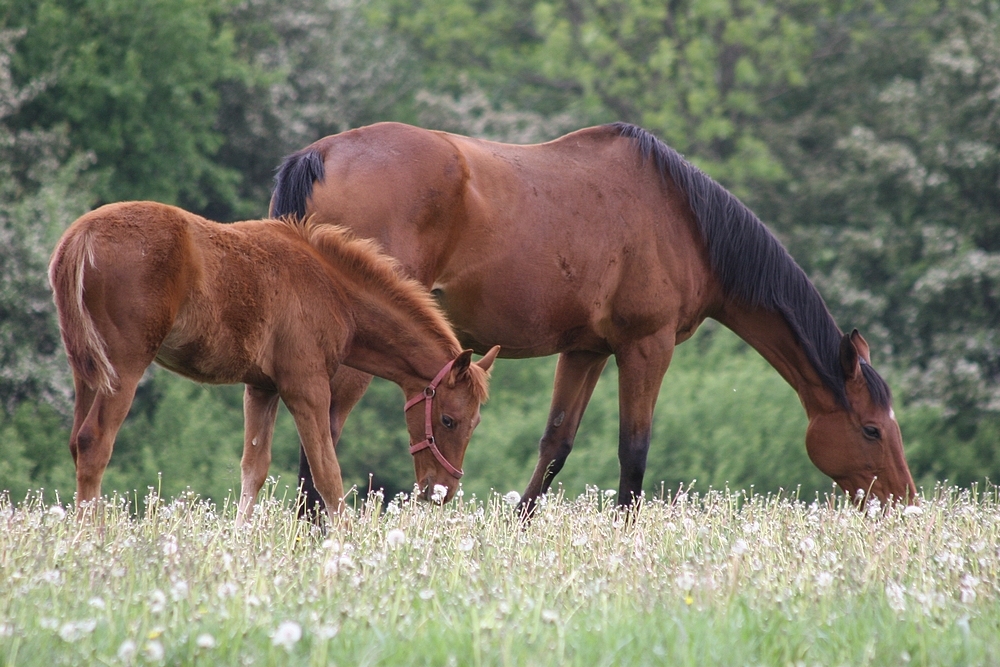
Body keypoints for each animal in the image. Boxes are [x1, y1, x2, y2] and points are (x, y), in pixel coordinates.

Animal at [47, 201, 500, 520]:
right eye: (449, 420)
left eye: (476, 423)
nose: (441, 492)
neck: (333, 290)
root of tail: (81, 234)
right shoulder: (307, 386)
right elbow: (327, 475)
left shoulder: (261, 387)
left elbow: (254, 469)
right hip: (123, 367)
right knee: (94, 444)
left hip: (86, 371)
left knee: (75, 443)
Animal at [274, 122, 920, 516]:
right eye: (871, 429)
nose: (905, 503)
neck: (683, 219)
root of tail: (321, 154)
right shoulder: (647, 347)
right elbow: (633, 451)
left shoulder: (585, 350)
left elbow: (555, 445)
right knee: (323, 430)